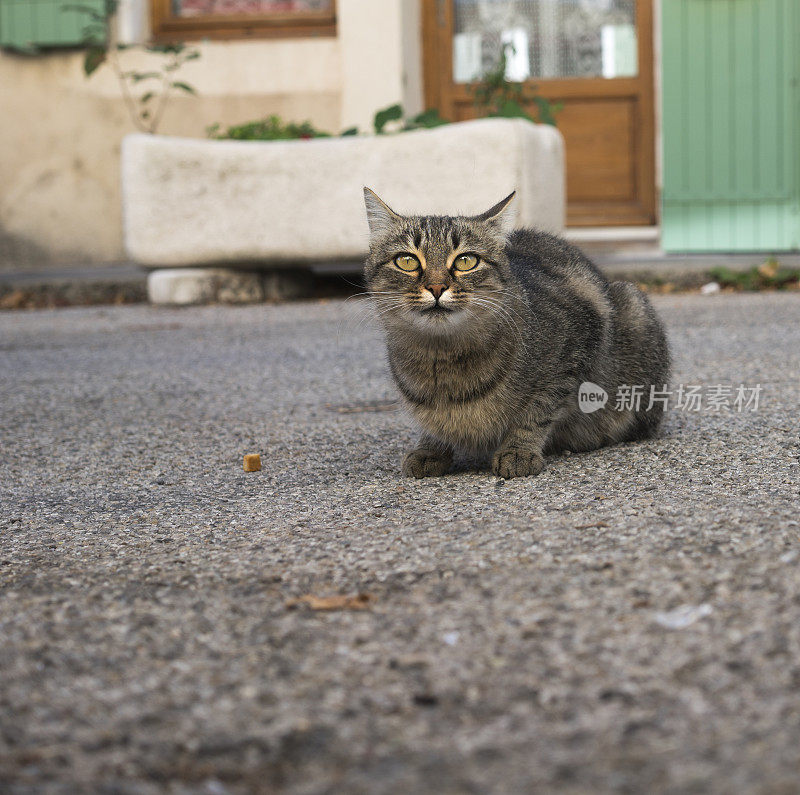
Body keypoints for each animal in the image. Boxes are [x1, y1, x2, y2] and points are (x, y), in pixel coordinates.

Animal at [362, 188, 668, 478]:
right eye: (406, 261)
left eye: (466, 261)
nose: (437, 287)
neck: (442, 356)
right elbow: (432, 424)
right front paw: (430, 448)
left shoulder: (573, 348)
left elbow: (537, 412)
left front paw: (518, 451)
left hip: (633, 311)